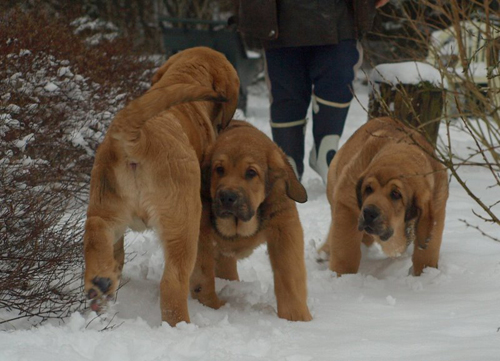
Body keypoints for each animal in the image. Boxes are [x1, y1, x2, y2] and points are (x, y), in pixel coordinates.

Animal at [84, 46, 240, 324]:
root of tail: (139, 137)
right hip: (182, 222)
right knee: (172, 282)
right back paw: (182, 326)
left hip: (106, 205)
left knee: (96, 231)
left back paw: (99, 282)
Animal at [191, 121, 312, 320]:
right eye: (219, 169)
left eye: (251, 173)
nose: (227, 197)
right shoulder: (200, 233)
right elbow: (203, 276)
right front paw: (210, 307)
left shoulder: (285, 228)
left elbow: (290, 276)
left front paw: (296, 318)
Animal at [320, 116, 450, 274]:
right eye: (368, 189)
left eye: (396, 194)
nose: (368, 213)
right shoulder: (347, 205)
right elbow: (346, 250)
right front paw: (343, 275)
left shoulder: (436, 210)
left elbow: (426, 255)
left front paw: (426, 274)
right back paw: (324, 253)